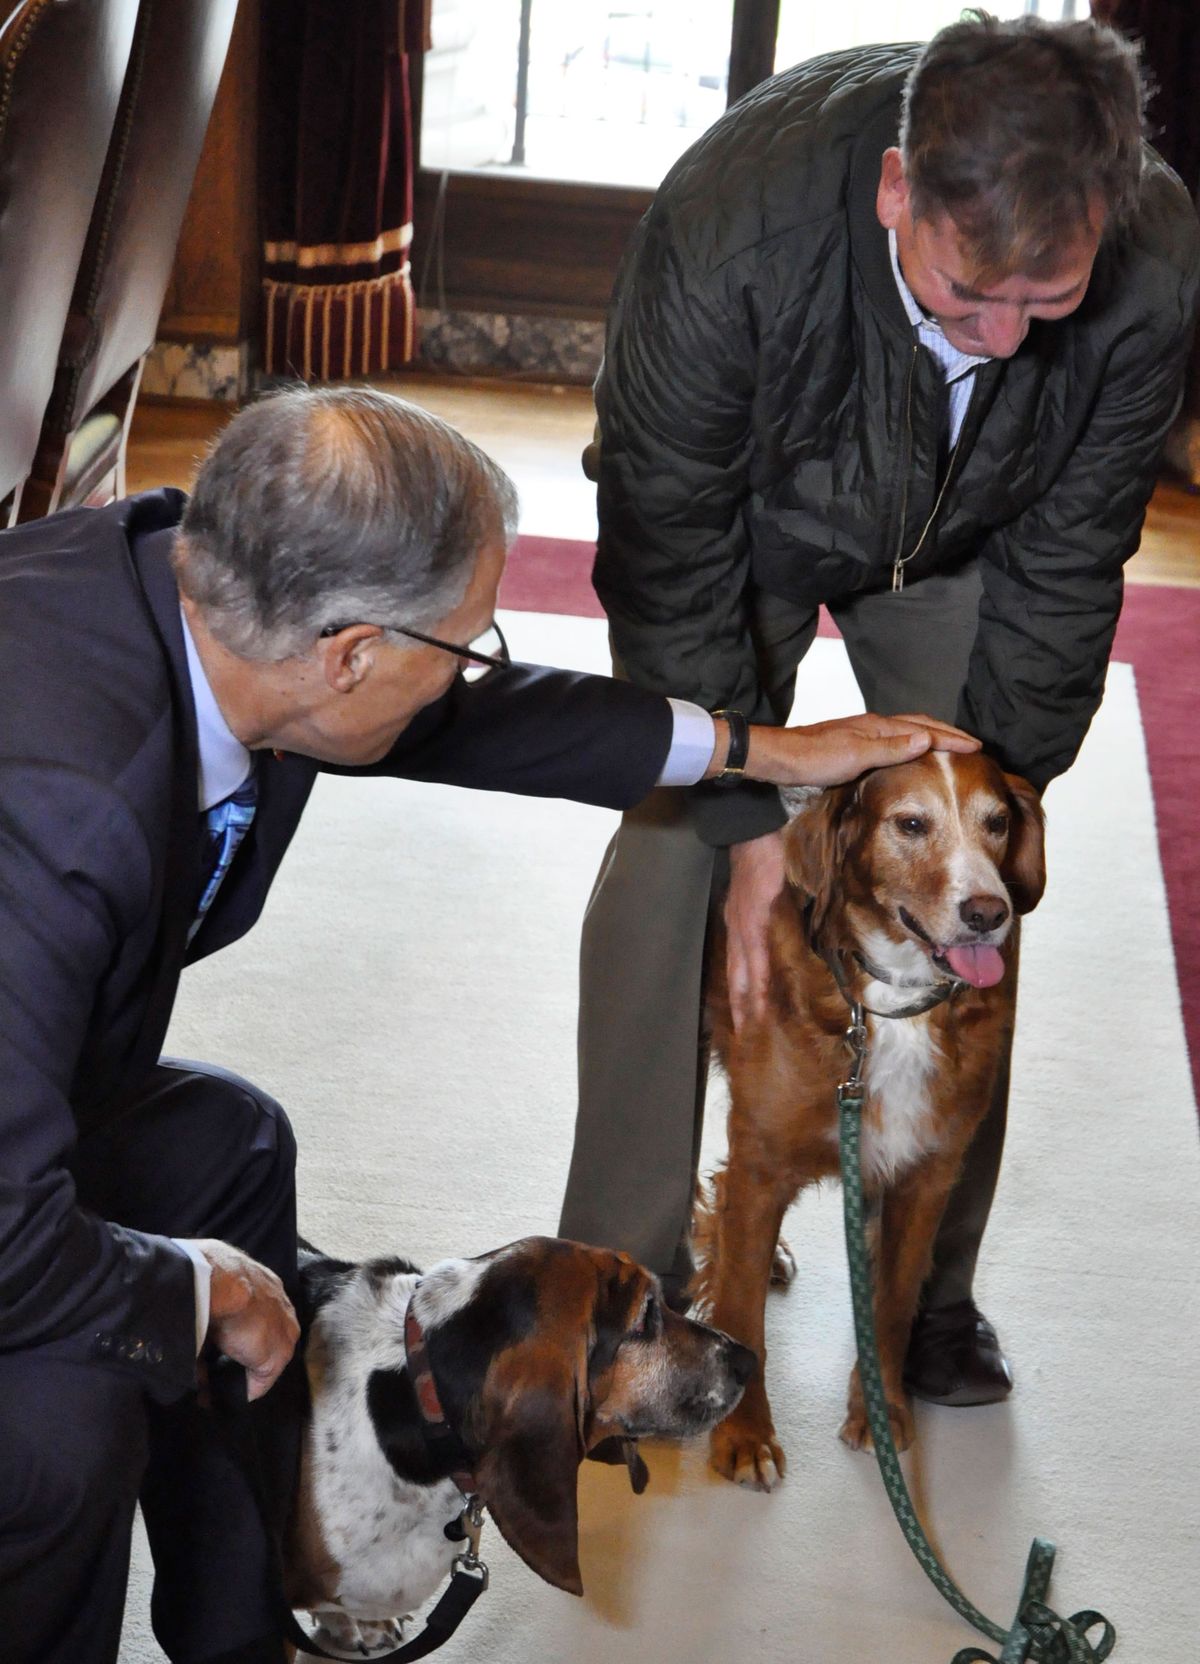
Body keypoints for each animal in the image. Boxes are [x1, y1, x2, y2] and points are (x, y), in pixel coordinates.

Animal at [689, 748, 1045, 1490]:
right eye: (910, 824)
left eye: (997, 822)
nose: (987, 912)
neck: (889, 1004)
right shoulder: (763, 1161)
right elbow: (741, 1316)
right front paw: (744, 1437)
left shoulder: (925, 1175)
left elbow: (893, 1304)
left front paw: (881, 1413)